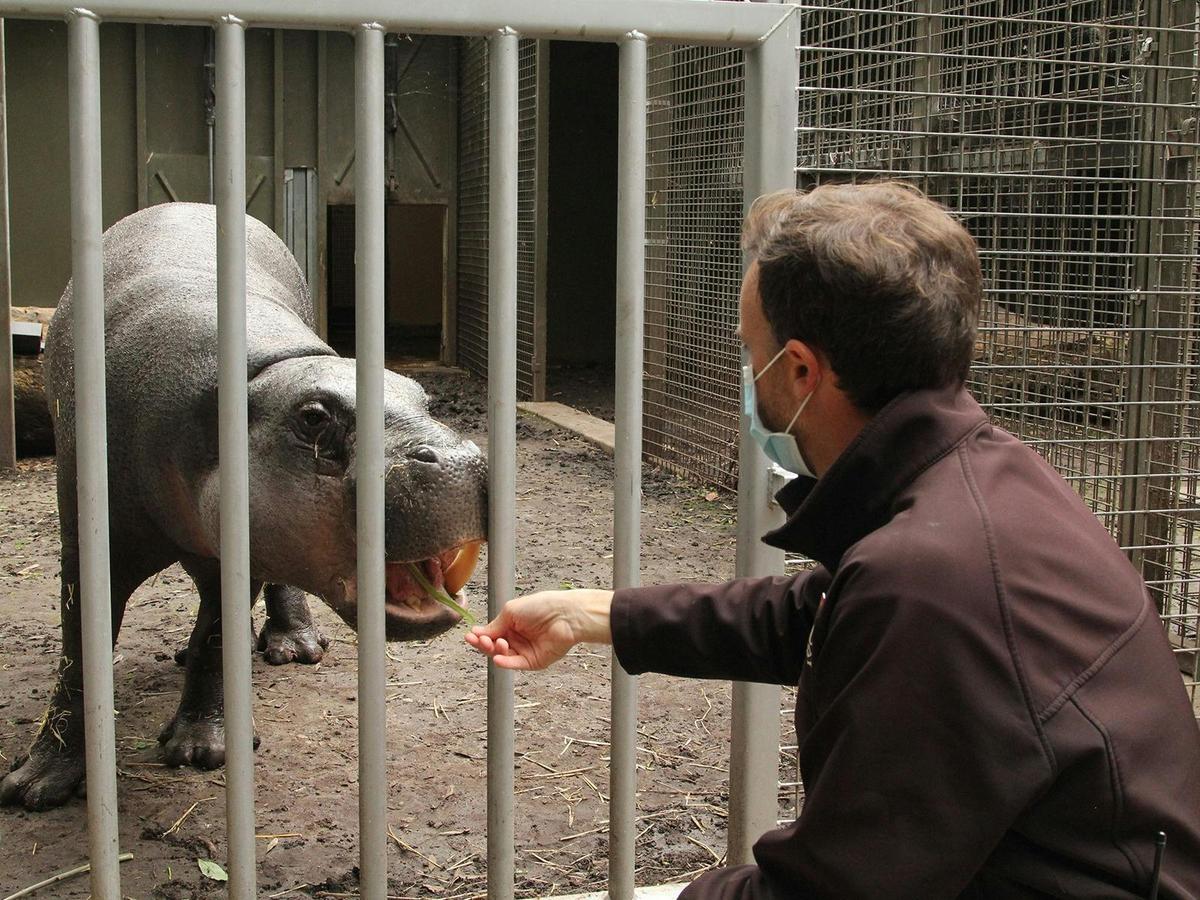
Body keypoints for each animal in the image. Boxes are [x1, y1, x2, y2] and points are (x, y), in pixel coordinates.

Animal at [0, 202, 487, 810]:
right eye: (313, 417)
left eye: (422, 397)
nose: (458, 457)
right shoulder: (90, 548)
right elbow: (79, 657)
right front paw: (35, 785)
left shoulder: (237, 552)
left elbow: (215, 636)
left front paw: (200, 750)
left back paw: (297, 648)